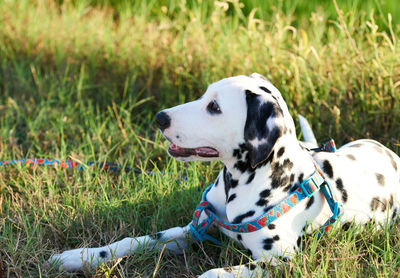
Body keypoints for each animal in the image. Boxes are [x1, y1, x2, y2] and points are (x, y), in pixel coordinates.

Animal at [47, 74, 400, 278]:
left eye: (214, 108)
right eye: (204, 96)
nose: (160, 118)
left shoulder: (281, 261)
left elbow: (213, 274)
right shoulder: (194, 229)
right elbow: (133, 241)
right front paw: (78, 257)